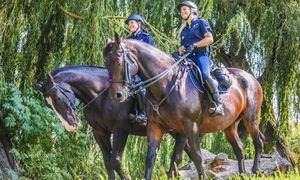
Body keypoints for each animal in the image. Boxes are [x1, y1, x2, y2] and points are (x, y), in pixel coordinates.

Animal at [33, 65, 190, 179]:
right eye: (48, 105)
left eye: (58, 98)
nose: (70, 126)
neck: (101, 94)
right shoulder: (99, 132)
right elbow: (108, 162)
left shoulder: (120, 131)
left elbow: (115, 161)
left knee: (177, 157)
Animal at [104, 33, 264, 179]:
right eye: (106, 63)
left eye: (118, 61)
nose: (117, 95)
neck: (166, 84)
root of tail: (251, 78)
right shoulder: (157, 127)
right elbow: (154, 159)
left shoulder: (190, 126)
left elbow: (195, 156)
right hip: (230, 126)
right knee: (239, 148)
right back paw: (242, 173)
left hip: (251, 119)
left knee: (258, 142)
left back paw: (256, 170)